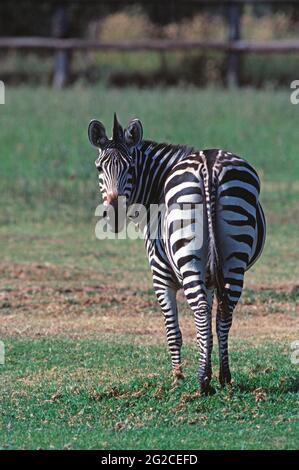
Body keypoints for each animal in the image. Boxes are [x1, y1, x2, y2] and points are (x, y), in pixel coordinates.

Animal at [88, 114, 266, 392]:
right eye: (99, 168)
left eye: (131, 168)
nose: (114, 216)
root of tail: (208, 164)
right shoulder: (210, 278)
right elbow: (209, 326)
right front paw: (207, 366)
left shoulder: (160, 276)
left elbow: (173, 331)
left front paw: (177, 376)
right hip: (234, 256)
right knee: (224, 312)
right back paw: (224, 377)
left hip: (188, 255)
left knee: (201, 310)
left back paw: (202, 382)